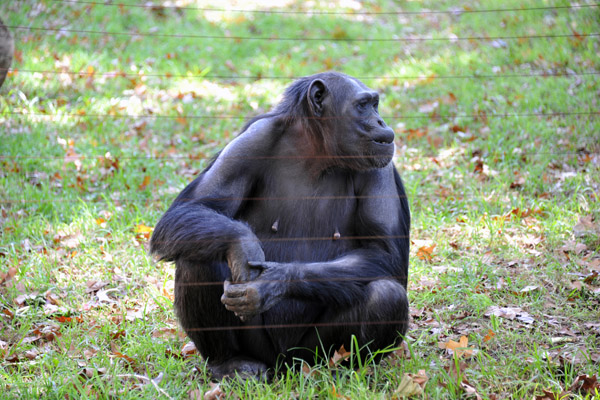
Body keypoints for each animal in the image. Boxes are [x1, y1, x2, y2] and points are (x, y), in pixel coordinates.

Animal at [151, 72, 412, 382]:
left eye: (375, 104)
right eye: (363, 106)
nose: (380, 121)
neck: (317, 152)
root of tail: (282, 367)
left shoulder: (380, 166)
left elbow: (382, 249)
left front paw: (273, 282)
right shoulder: (250, 142)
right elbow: (191, 208)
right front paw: (243, 245)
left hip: (308, 353)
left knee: (386, 297)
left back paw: (340, 372)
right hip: (259, 347)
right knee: (197, 257)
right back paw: (230, 363)